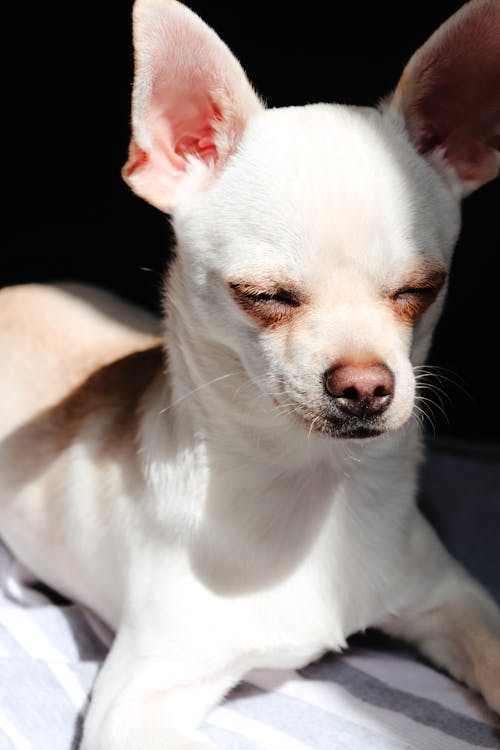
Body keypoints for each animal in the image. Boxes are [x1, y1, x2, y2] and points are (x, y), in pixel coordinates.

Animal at [0, 0, 500, 748]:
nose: (364, 386)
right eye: (264, 296)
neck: (313, 488)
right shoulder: (141, 700)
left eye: (421, 289)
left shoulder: (451, 599)